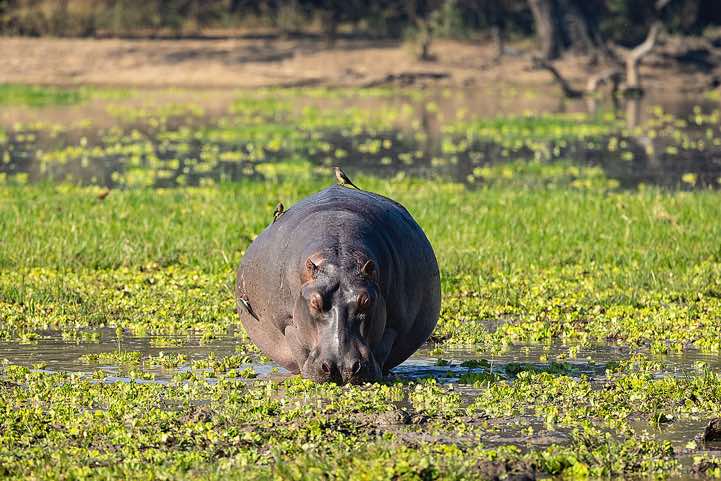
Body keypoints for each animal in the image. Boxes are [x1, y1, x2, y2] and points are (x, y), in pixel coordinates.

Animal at [236, 185, 440, 384]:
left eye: (366, 301)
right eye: (314, 302)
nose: (341, 366)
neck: (340, 258)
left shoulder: (394, 324)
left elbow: (384, 346)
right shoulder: (286, 322)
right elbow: (297, 346)